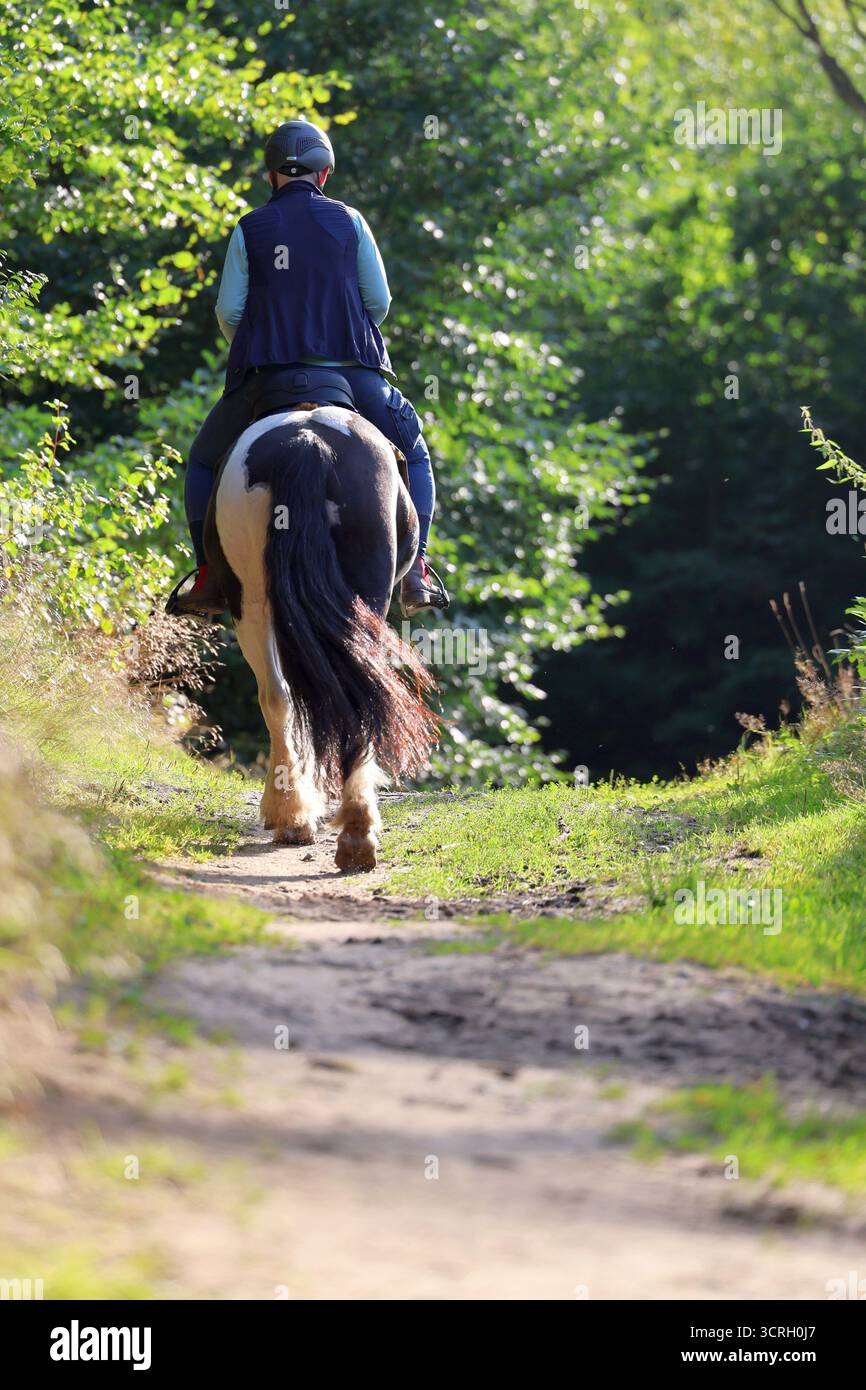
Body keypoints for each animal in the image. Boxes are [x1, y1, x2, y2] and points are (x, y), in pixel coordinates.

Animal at [202, 380, 438, 873]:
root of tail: (307, 442)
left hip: (253, 603)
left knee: (283, 694)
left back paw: (309, 820)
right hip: (353, 597)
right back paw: (347, 830)